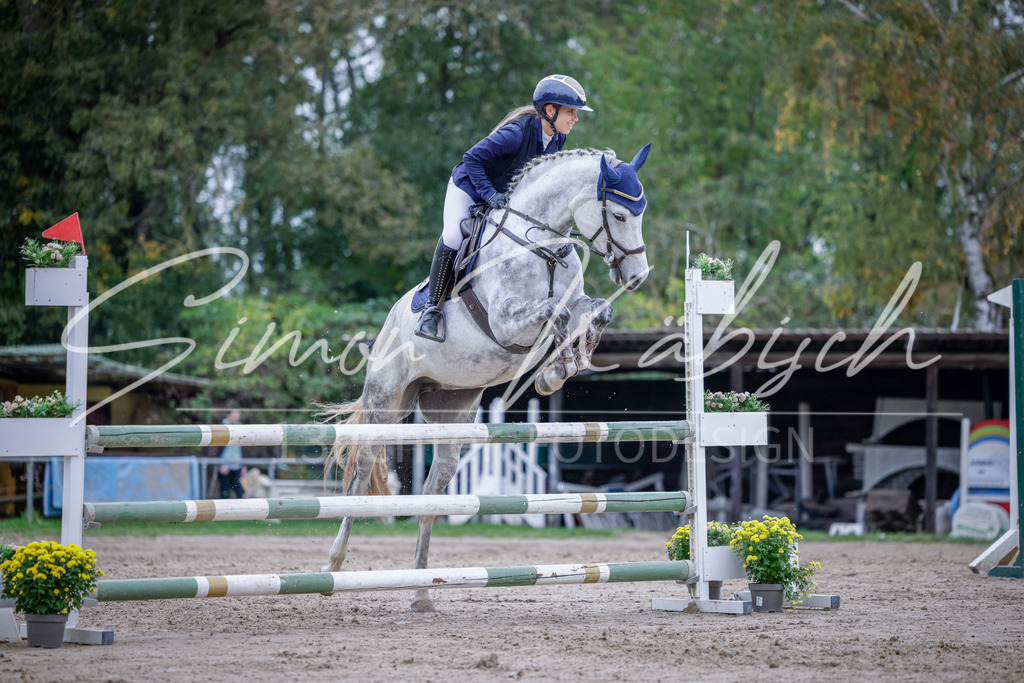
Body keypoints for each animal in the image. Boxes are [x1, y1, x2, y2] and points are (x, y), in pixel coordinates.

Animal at [320, 144, 652, 612]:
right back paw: (333, 564)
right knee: (360, 476)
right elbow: (555, 312)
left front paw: (565, 365)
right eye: (620, 215)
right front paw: (554, 369)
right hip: (385, 402)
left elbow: (595, 310)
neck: (543, 247)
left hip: (450, 414)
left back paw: (422, 591)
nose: (638, 276)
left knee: (431, 497)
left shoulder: (578, 302)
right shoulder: (506, 320)